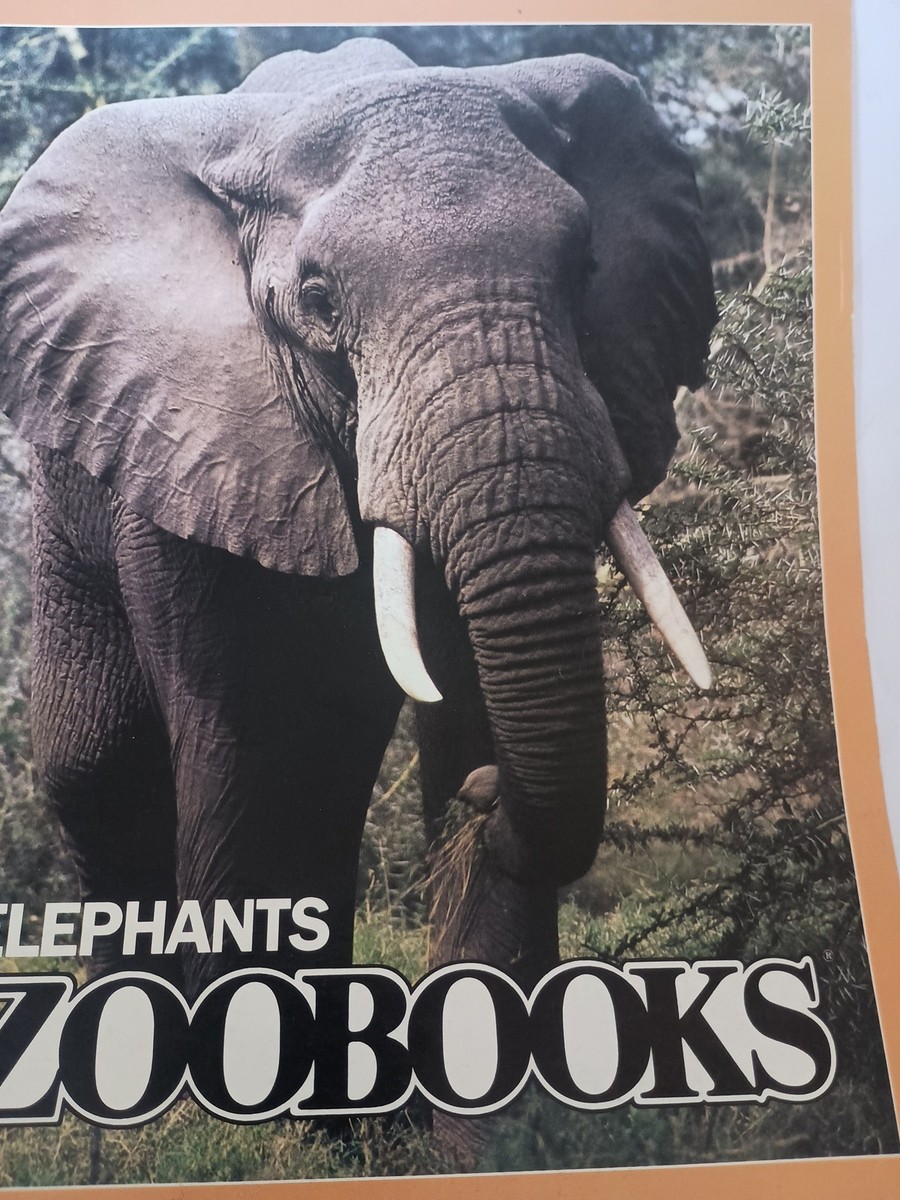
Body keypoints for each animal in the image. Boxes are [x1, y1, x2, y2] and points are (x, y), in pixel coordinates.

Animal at [0, 37, 716, 999]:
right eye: (319, 301)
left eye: (586, 273)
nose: (485, 795)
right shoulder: (194, 441)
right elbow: (251, 741)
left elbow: (462, 698)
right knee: (101, 766)